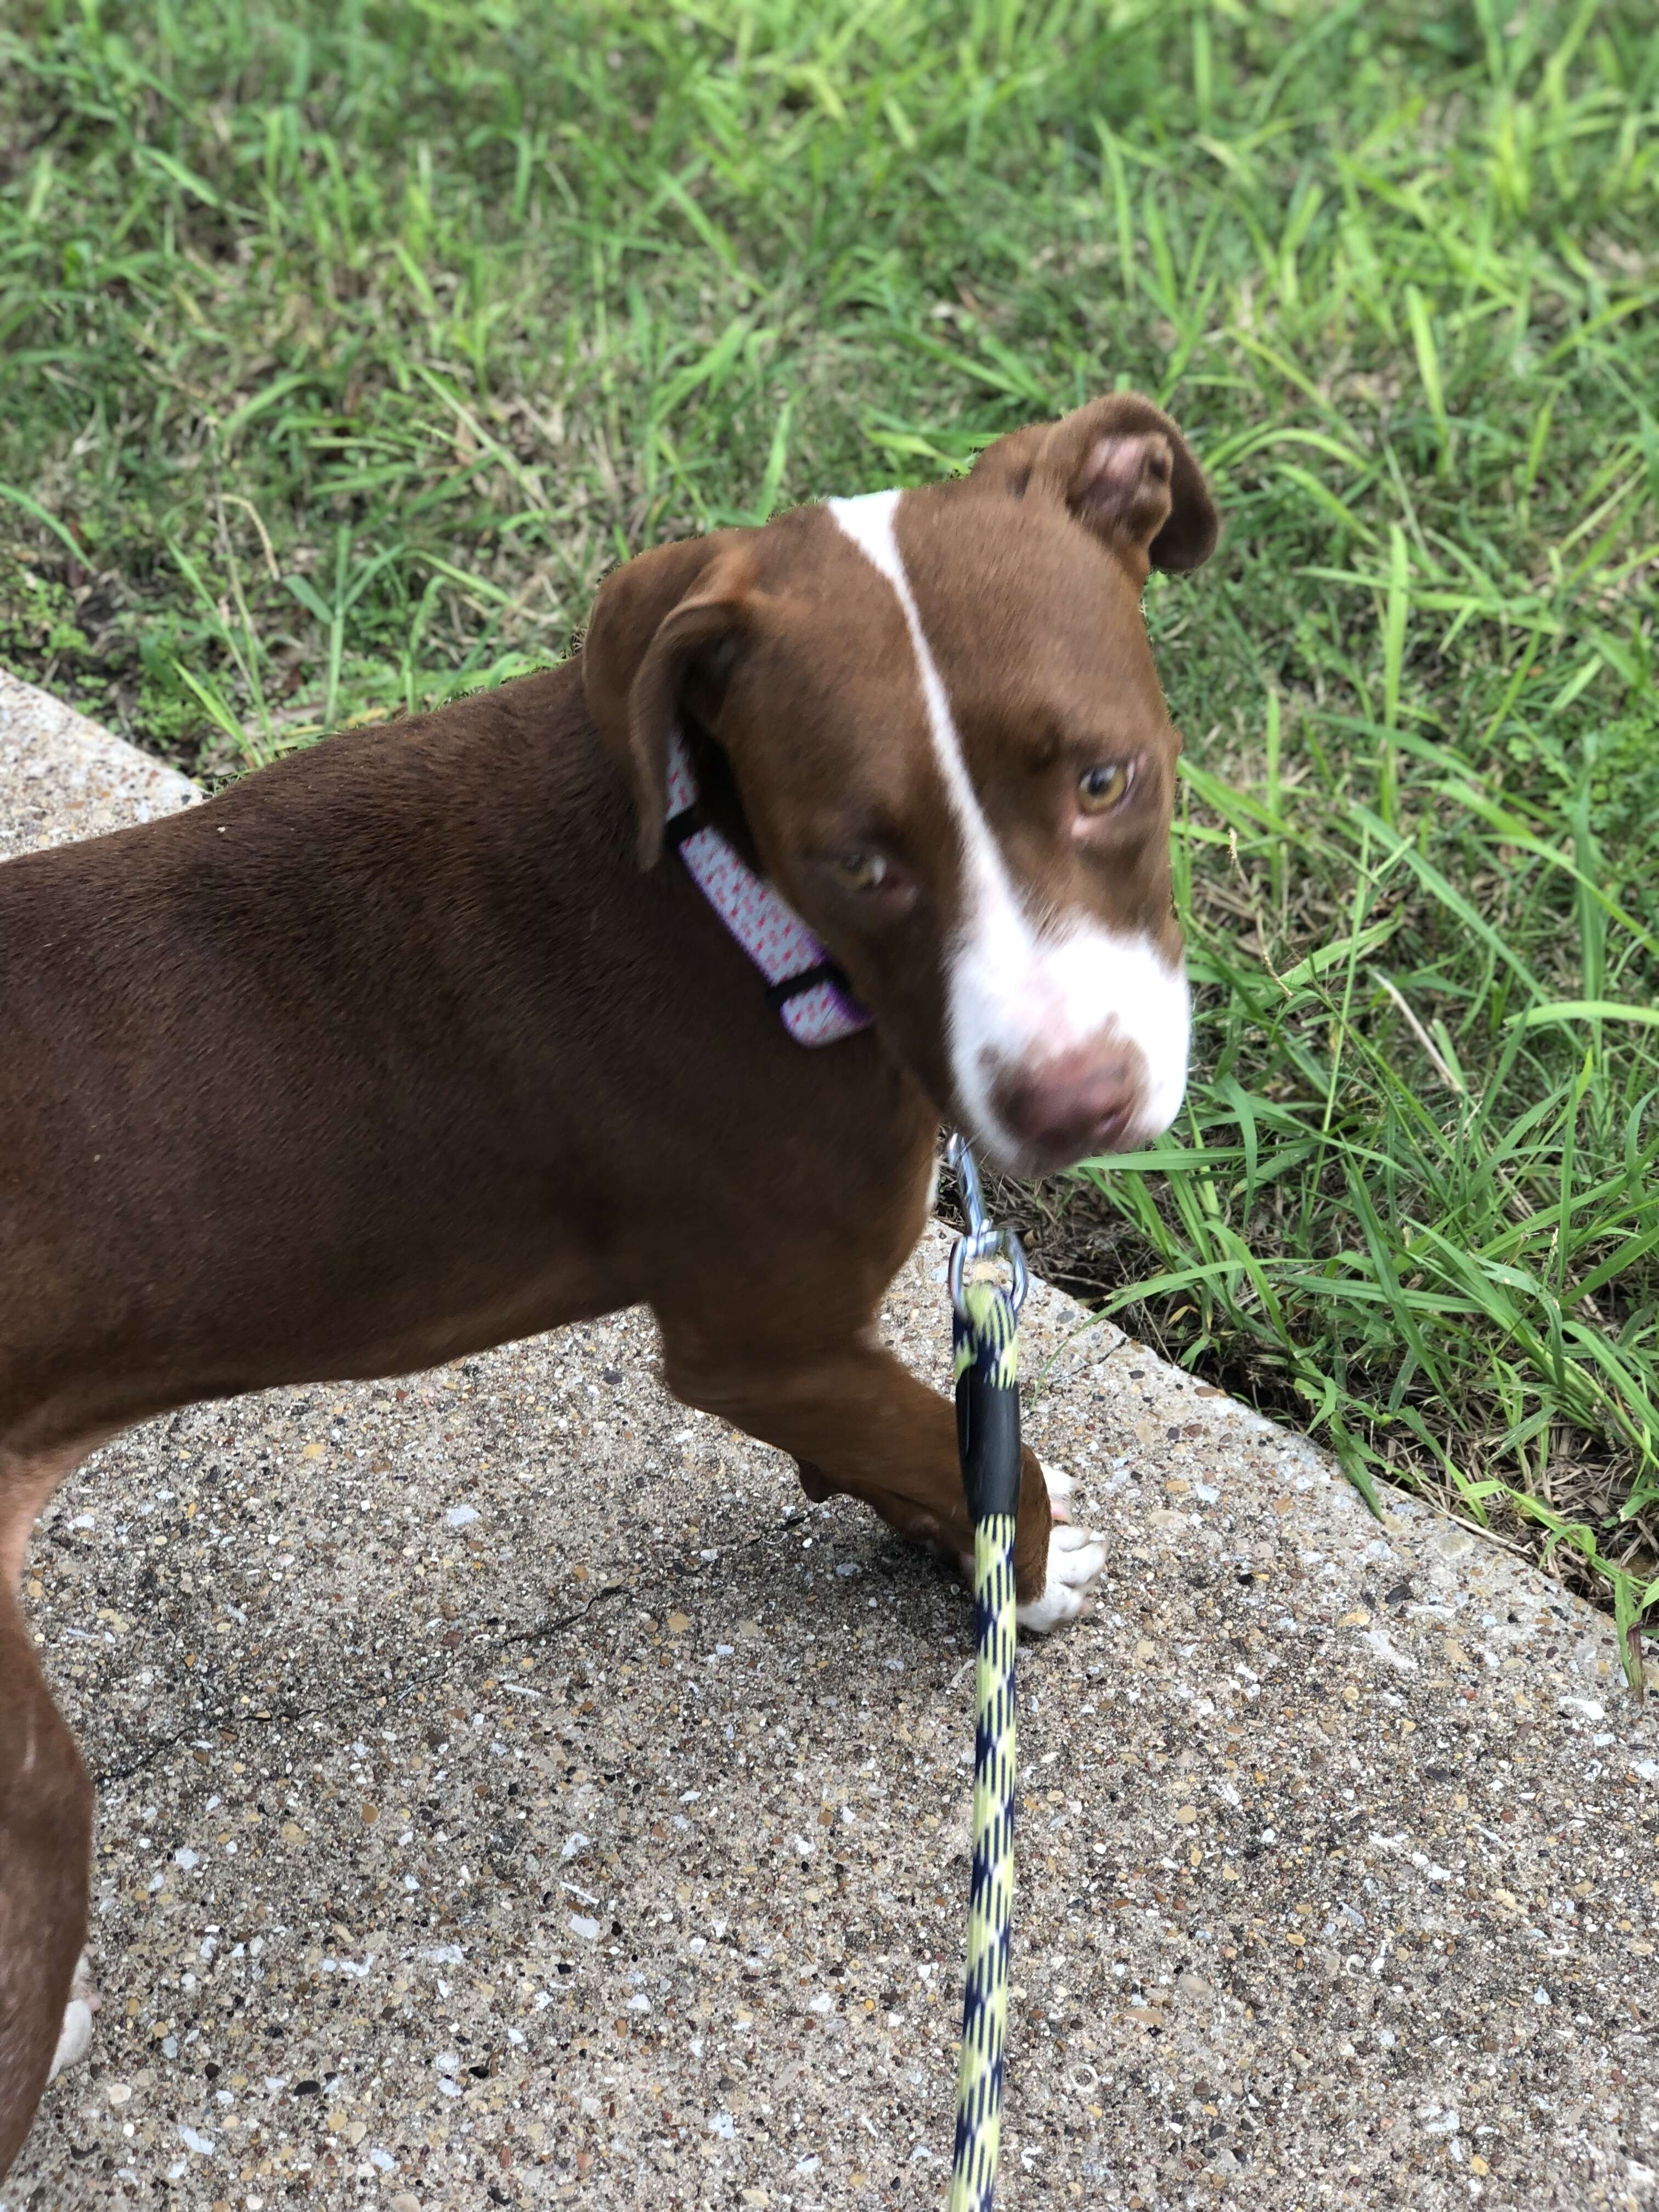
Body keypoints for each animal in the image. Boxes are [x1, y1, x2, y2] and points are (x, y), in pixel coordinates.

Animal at [0, 389, 1221, 2168]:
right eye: (860, 862)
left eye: (1104, 778)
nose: (1075, 1103)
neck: (727, 887)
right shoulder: (761, 1335)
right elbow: (983, 1457)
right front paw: (1025, 1580)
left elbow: (923, 1455)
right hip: (32, 1796)